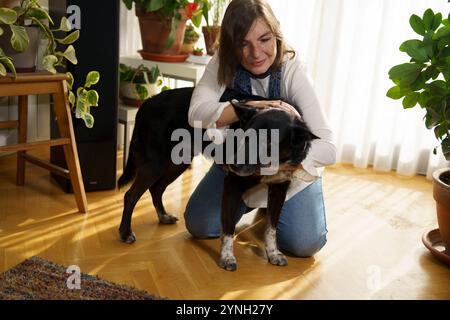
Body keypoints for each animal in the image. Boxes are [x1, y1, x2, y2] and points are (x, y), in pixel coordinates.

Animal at [118, 87, 318, 270]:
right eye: (245, 135)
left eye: (269, 142)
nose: (233, 165)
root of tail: (148, 101)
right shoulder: (232, 184)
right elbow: (228, 227)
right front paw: (227, 258)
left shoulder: (279, 189)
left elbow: (271, 228)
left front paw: (273, 253)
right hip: (156, 163)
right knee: (131, 195)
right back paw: (125, 232)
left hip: (178, 162)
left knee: (156, 189)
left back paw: (163, 216)